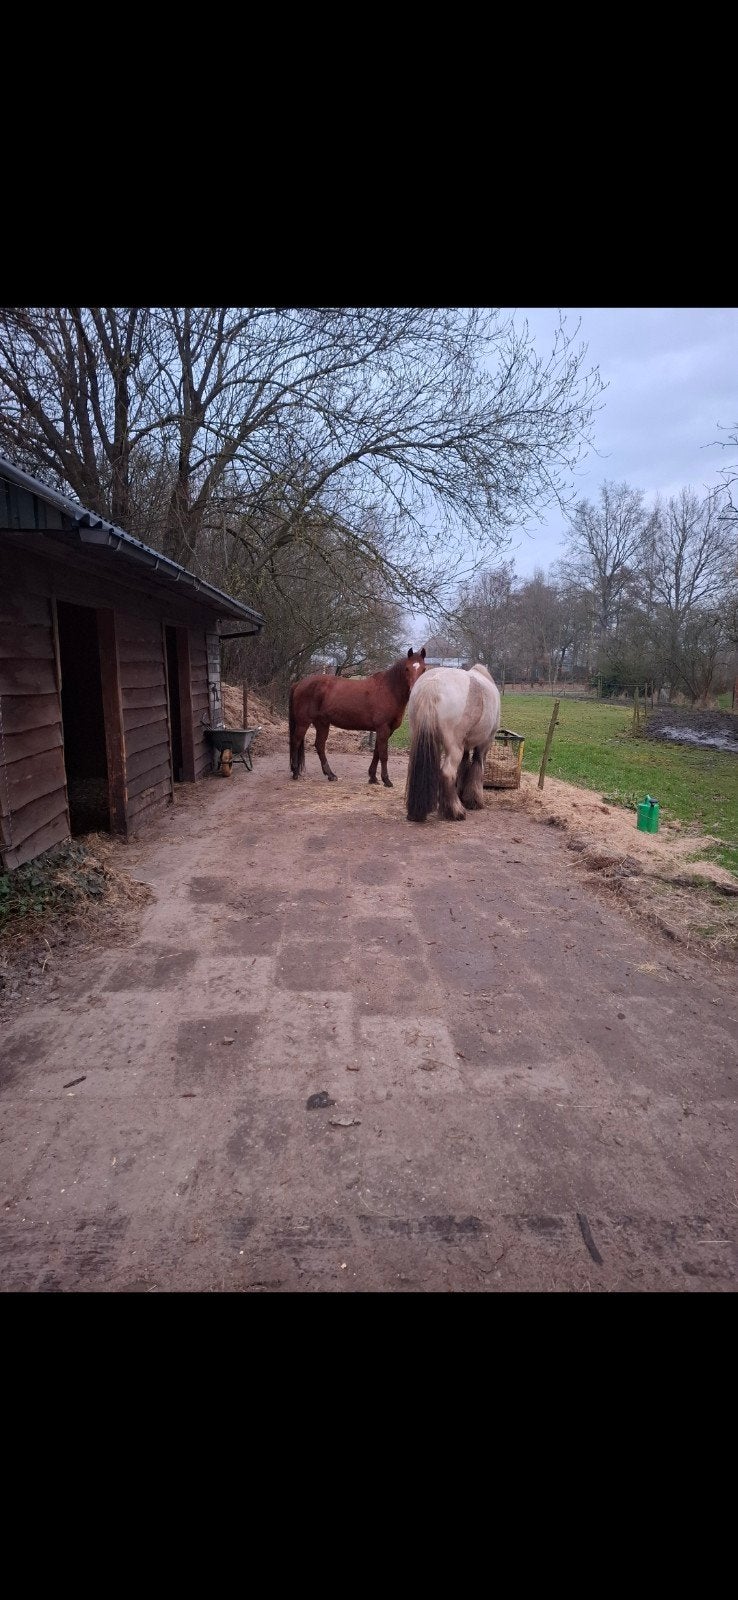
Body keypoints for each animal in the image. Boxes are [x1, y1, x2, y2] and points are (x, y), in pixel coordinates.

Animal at [289, 648, 427, 786]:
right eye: (407, 669)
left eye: (424, 669)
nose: (414, 690)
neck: (389, 690)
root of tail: (299, 683)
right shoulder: (383, 728)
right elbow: (383, 755)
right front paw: (386, 780)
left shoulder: (386, 730)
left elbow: (376, 752)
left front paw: (373, 777)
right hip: (303, 722)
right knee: (296, 741)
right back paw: (295, 772)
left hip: (322, 723)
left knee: (319, 745)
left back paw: (330, 774)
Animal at [405, 663, 501, 822]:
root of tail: (432, 684)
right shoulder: (485, 743)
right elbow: (477, 766)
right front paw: (474, 800)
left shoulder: (466, 745)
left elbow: (464, 766)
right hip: (455, 747)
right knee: (447, 773)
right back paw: (456, 811)